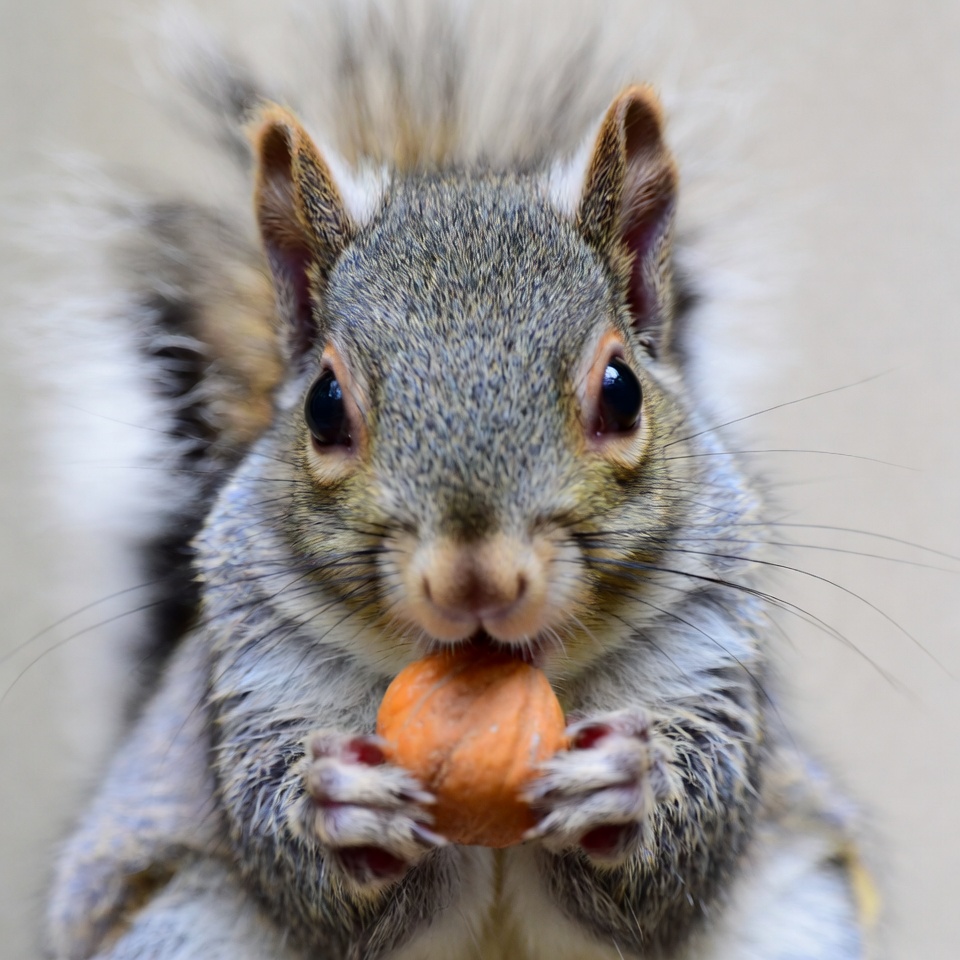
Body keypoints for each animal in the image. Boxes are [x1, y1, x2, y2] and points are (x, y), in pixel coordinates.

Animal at [37, 3, 878, 959]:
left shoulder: (704, 644)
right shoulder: (259, 672)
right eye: (324, 405)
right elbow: (291, 860)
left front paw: (625, 780)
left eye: (621, 390)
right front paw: (338, 807)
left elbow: (687, 842)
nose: (476, 578)